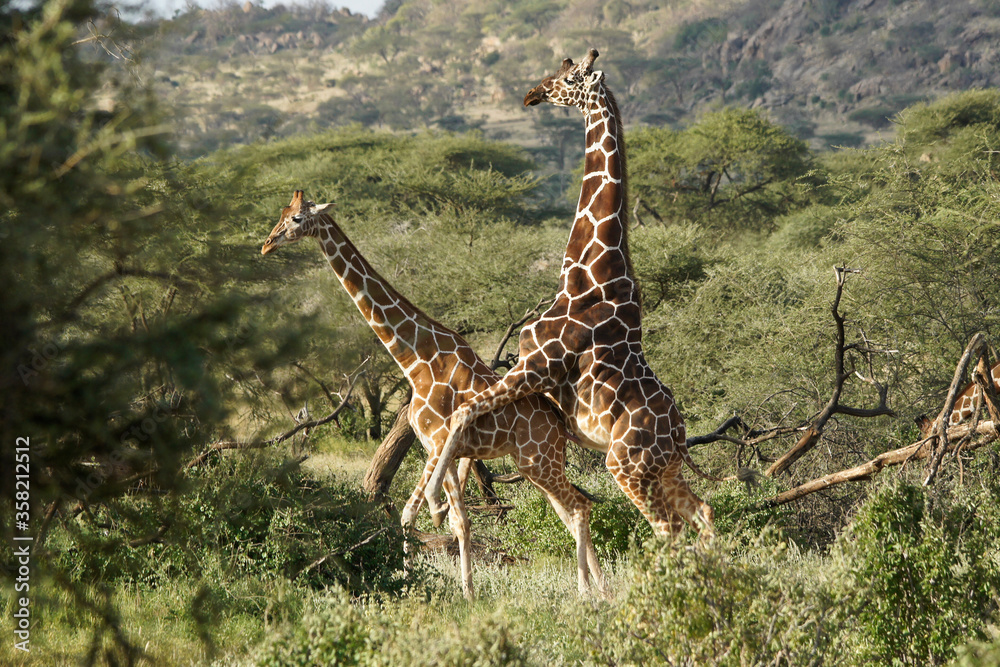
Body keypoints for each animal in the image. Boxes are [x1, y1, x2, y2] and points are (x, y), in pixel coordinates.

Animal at [261, 190, 604, 599]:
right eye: (281, 214)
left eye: (297, 219)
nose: (267, 244)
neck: (418, 359)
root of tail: (559, 421)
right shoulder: (439, 448)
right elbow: (435, 518)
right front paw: (433, 586)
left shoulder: (439, 442)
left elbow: (435, 516)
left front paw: (449, 589)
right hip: (533, 464)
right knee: (571, 511)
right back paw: (600, 588)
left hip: (539, 460)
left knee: (580, 507)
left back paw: (592, 593)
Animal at [425, 49, 718, 539]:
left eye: (570, 76)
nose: (532, 93)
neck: (586, 276)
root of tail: (678, 436)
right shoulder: (538, 385)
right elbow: (468, 417)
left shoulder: (536, 367)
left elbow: (464, 410)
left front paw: (433, 500)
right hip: (665, 471)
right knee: (703, 512)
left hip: (627, 465)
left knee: (668, 529)